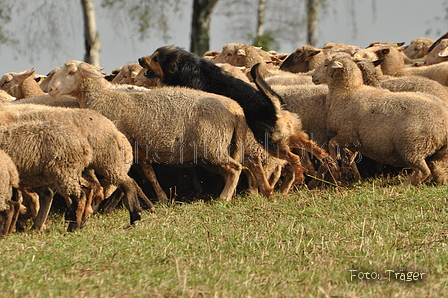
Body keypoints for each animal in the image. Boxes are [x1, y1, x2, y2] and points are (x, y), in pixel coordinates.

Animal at [138, 45, 338, 184]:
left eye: (155, 58)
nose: (140, 58)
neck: (188, 66)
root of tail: (275, 107)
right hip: (288, 135)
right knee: (309, 144)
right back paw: (326, 159)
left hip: (270, 141)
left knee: (294, 158)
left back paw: (299, 177)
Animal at [312, 52, 448, 185]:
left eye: (326, 64)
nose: (313, 76)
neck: (347, 91)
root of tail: (444, 121)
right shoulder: (351, 140)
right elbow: (348, 155)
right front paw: (345, 168)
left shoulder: (349, 135)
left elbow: (332, 143)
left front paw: (335, 163)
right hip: (438, 152)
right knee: (436, 169)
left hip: (413, 147)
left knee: (424, 171)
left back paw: (404, 185)